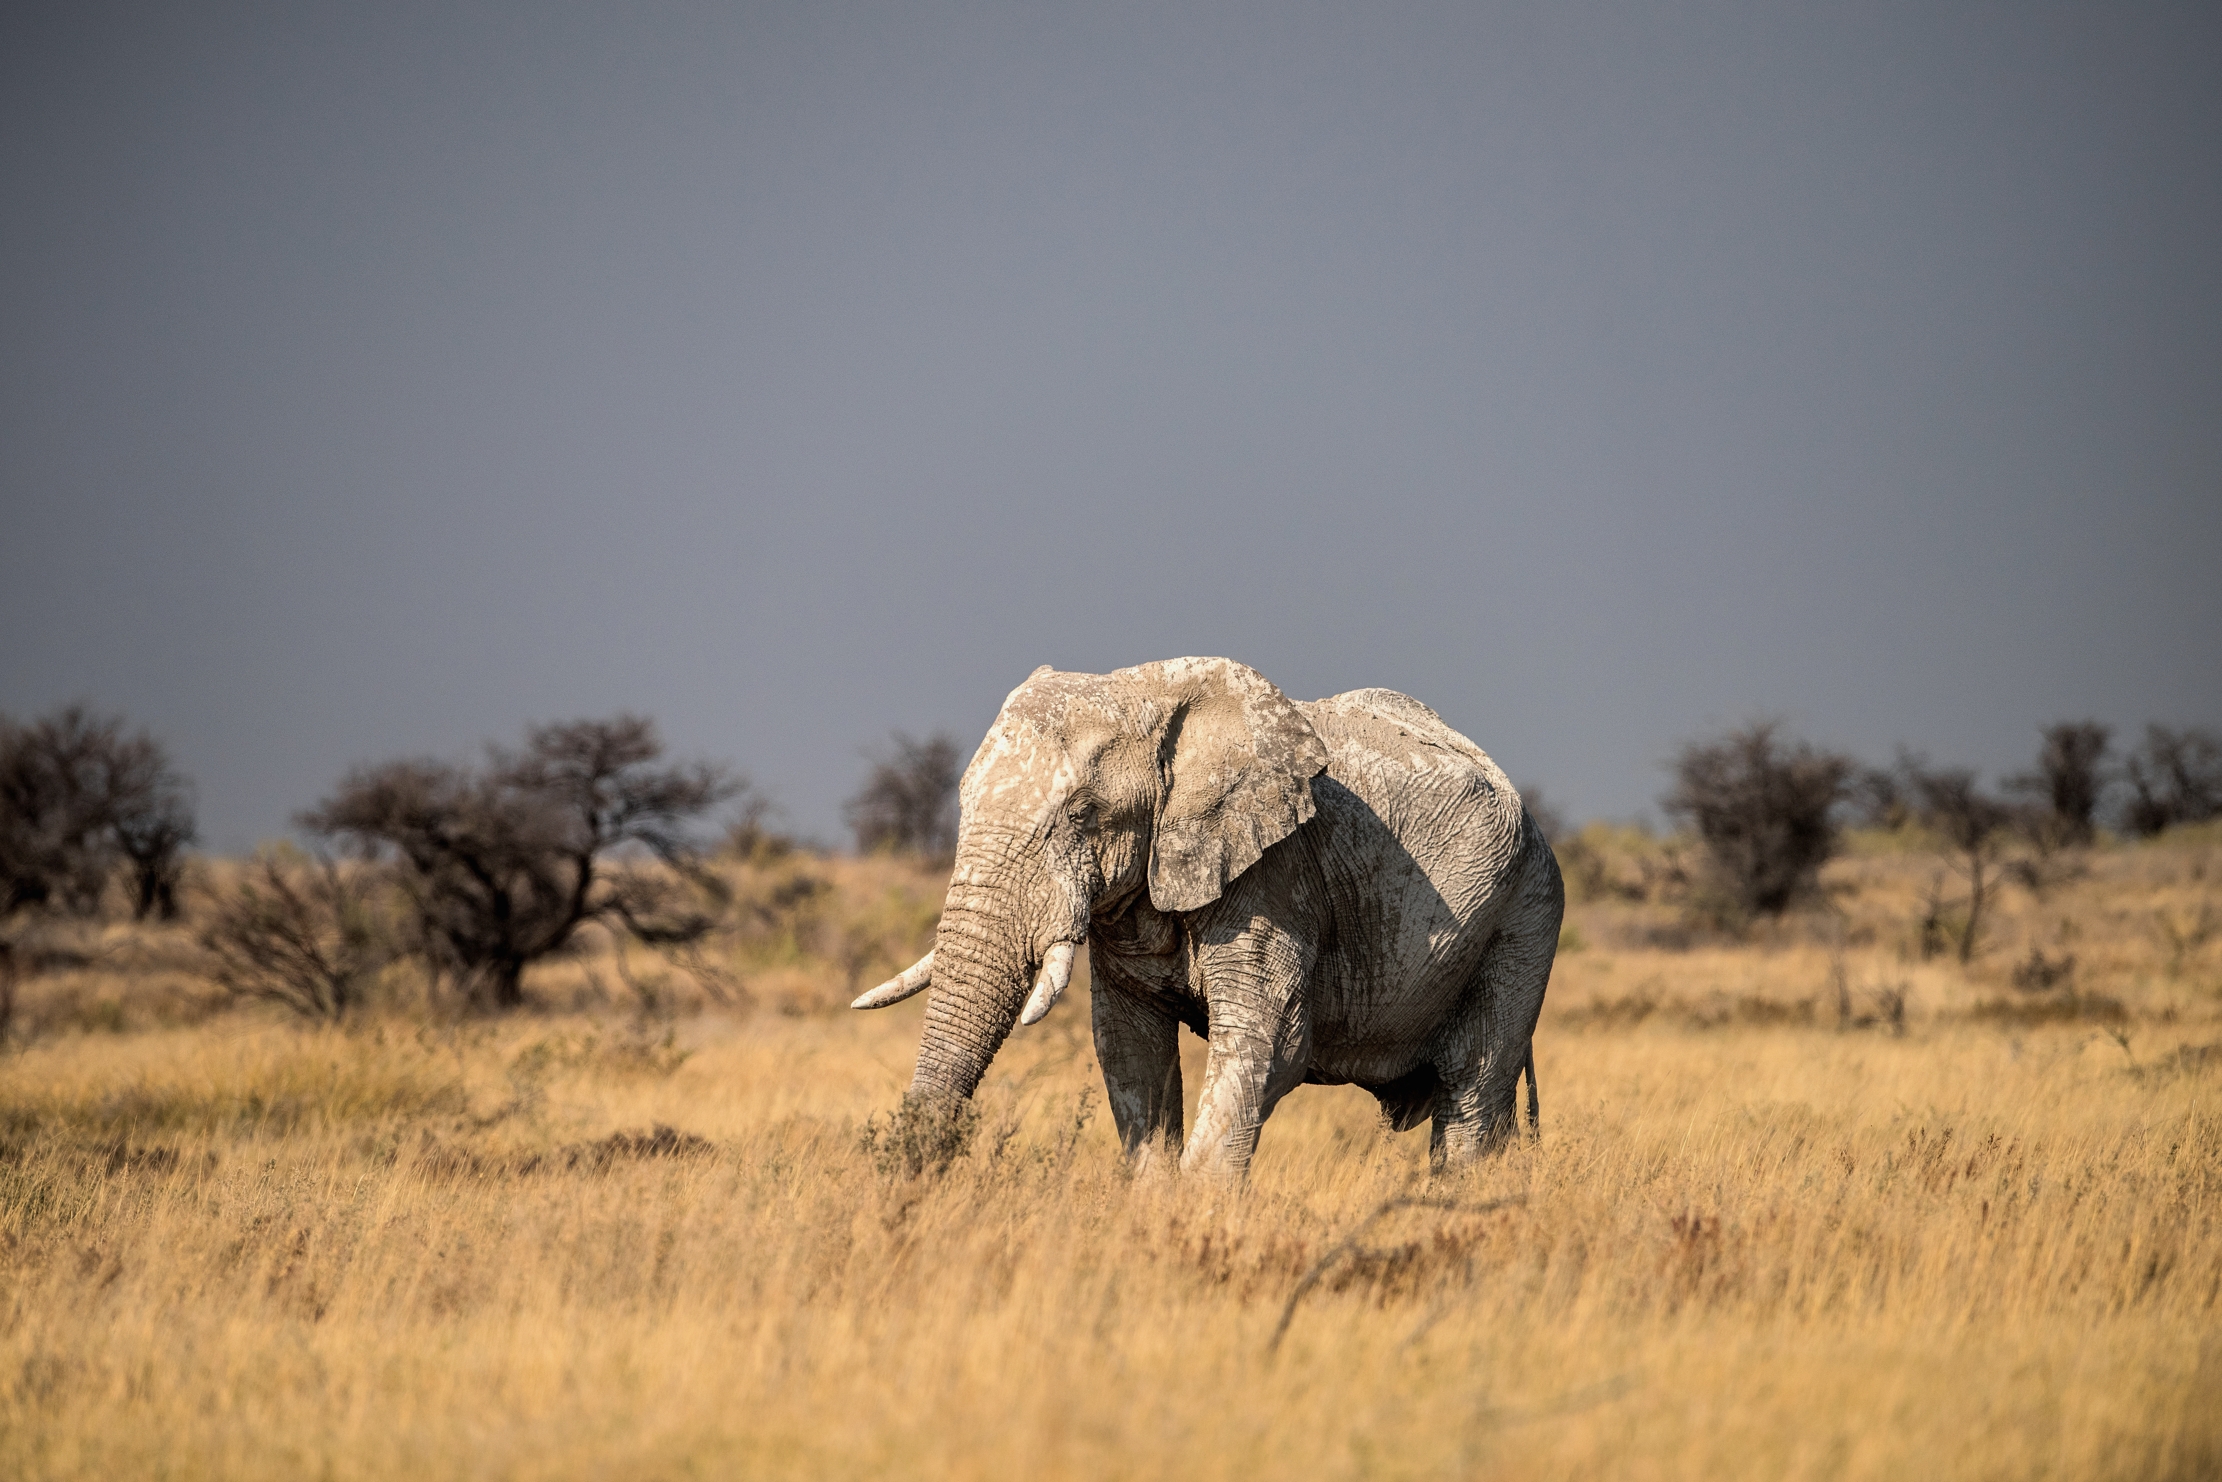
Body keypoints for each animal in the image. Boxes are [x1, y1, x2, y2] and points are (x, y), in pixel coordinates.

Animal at [853, 657, 1563, 1177]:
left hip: (1526, 912)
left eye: (1082, 814)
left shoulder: (1276, 877)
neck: (1147, 693)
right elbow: (1129, 1050)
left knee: (1470, 1084)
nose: (917, 1165)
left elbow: (1272, 1041)